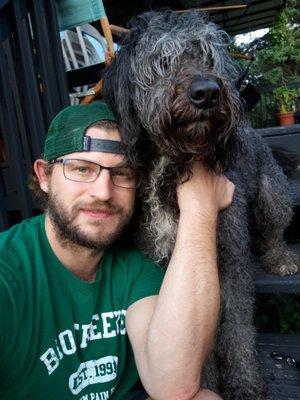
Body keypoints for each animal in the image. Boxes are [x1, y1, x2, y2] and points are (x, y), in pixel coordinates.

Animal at [102, 10, 298, 400]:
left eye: (209, 56)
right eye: (163, 60)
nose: (207, 92)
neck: (175, 165)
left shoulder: (231, 261)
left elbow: (237, 329)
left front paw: (243, 382)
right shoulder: (168, 270)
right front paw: (207, 383)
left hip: (274, 194)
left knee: (274, 230)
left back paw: (281, 258)